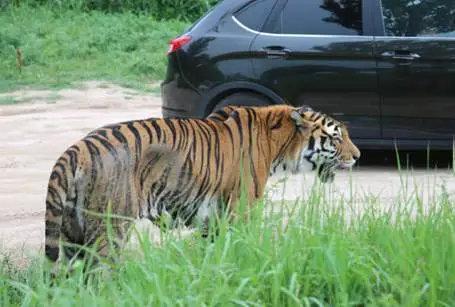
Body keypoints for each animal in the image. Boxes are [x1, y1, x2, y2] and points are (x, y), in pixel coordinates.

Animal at [45, 104, 360, 264]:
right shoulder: (240, 210)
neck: (279, 144)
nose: (358, 156)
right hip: (109, 229)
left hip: (72, 233)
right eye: (336, 137)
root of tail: (77, 148)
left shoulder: (213, 219)